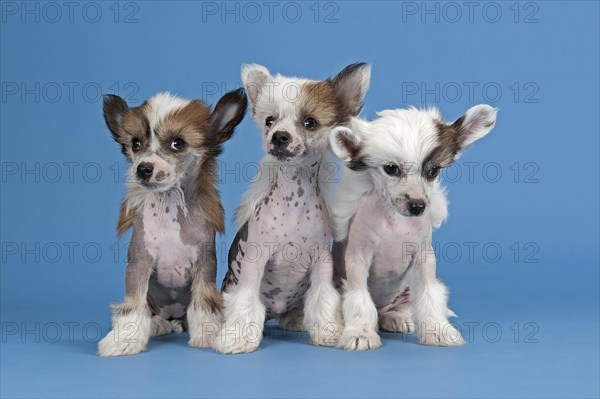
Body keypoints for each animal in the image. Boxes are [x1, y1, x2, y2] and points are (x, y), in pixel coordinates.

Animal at [213, 61, 368, 354]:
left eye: (310, 122)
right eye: (269, 121)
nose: (279, 136)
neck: (294, 203)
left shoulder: (321, 262)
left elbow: (322, 299)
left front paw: (328, 331)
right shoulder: (255, 261)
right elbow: (247, 301)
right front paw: (238, 338)